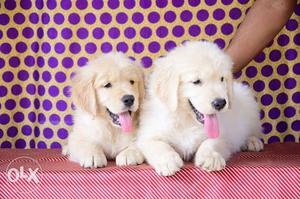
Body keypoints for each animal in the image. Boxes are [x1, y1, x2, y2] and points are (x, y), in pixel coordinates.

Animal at [137, 40, 264, 176]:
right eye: (196, 81)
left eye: (222, 79)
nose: (220, 103)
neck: (187, 121)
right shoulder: (148, 134)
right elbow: (158, 144)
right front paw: (167, 160)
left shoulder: (223, 135)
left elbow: (211, 142)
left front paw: (210, 157)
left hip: (251, 109)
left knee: (254, 131)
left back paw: (252, 141)